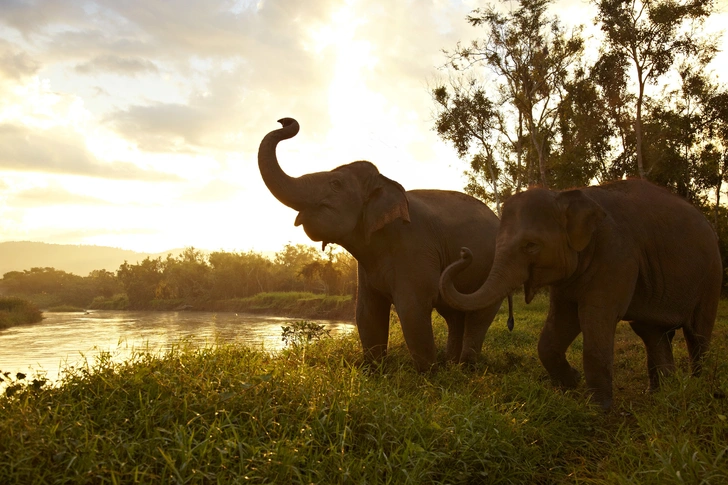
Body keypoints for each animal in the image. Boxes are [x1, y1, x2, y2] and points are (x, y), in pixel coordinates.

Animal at [258, 117, 516, 370]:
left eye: (336, 183)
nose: (284, 121)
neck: (386, 183)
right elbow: (367, 312)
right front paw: (374, 370)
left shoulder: (414, 246)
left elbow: (412, 307)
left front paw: (427, 374)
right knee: (454, 315)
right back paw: (451, 364)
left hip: (493, 269)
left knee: (478, 315)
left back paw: (465, 367)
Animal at [438, 179, 724, 408]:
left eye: (531, 246)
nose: (464, 252)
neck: (564, 195)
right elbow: (560, 323)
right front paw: (571, 383)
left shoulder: (616, 254)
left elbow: (595, 318)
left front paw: (599, 410)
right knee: (652, 332)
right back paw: (660, 395)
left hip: (711, 276)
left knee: (697, 334)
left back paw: (699, 390)